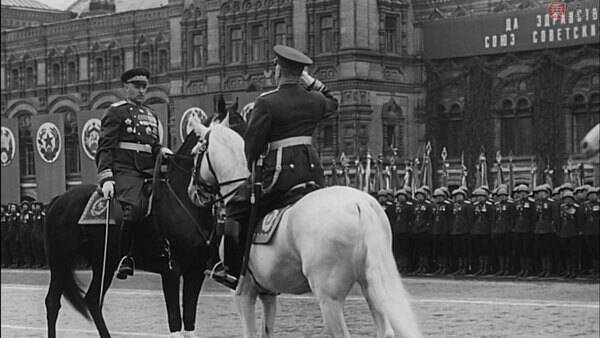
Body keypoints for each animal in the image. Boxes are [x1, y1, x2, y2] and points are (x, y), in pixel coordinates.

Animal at [42, 133, 212, 338]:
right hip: (61, 259)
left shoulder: (195, 270)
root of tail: (59, 199)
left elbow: (189, 318)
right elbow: (175, 319)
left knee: (92, 299)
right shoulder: (171, 269)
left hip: (104, 262)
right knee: (53, 302)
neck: (184, 200)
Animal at [190, 121, 420, 338]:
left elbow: (250, 333)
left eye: (195, 153)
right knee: (385, 330)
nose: (193, 192)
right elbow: (267, 331)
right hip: (372, 286)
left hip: (328, 297)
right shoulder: (268, 292)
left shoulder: (243, 292)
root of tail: (359, 204)